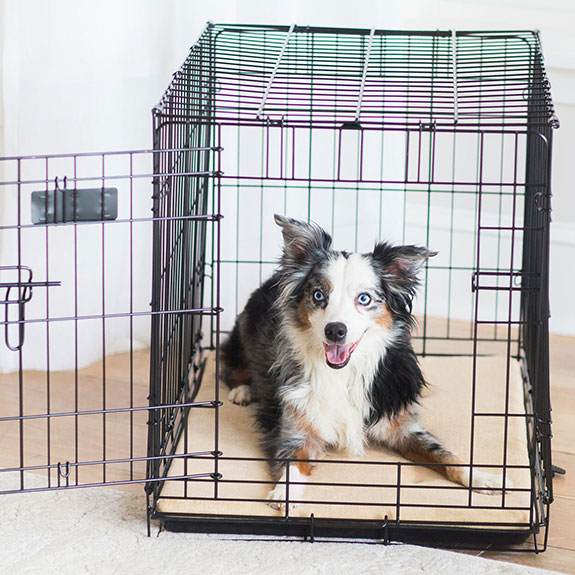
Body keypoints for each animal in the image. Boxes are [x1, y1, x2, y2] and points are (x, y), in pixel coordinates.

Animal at [222, 215, 508, 508]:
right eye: (318, 295)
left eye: (364, 298)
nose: (335, 330)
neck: (343, 372)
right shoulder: (294, 427)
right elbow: (292, 460)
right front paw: (284, 493)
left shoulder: (404, 426)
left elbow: (445, 453)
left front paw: (482, 477)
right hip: (242, 332)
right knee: (232, 366)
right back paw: (241, 391)